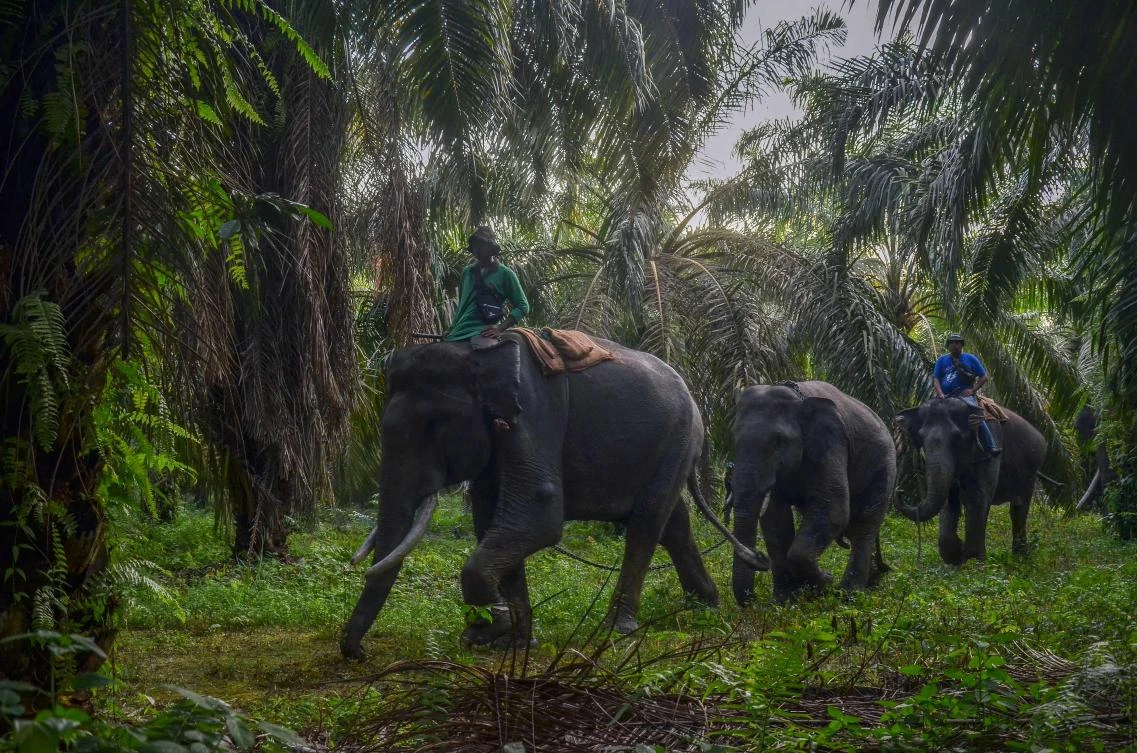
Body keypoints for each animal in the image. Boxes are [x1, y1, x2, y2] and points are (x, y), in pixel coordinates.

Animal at [340, 335, 766, 659]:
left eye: (433, 426)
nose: (359, 653)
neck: (477, 353)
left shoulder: (533, 411)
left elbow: (537, 514)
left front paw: (487, 630)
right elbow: (491, 522)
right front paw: (513, 641)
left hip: (678, 437)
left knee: (646, 524)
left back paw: (619, 629)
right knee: (673, 523)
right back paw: (705, 606)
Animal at [729, 381, 896, 606]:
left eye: (779, 442)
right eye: (734, 439)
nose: (752, 598)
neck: (797, 399)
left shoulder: (829, 442)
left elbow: (833, 511)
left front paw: (825, 582)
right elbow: (775, 522)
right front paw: (782, 602)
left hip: (884, 467)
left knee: (864, 524)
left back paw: (849, 596)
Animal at [895, 397, 1047, 564]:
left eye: (956, 438)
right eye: (921, 438)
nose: (899, 490)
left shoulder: (990, 450)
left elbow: (977, 498)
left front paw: (975, 561)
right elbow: (949, 501)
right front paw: (956, 554)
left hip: (1031, 469)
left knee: (1019, 507)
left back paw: (1020, 559)